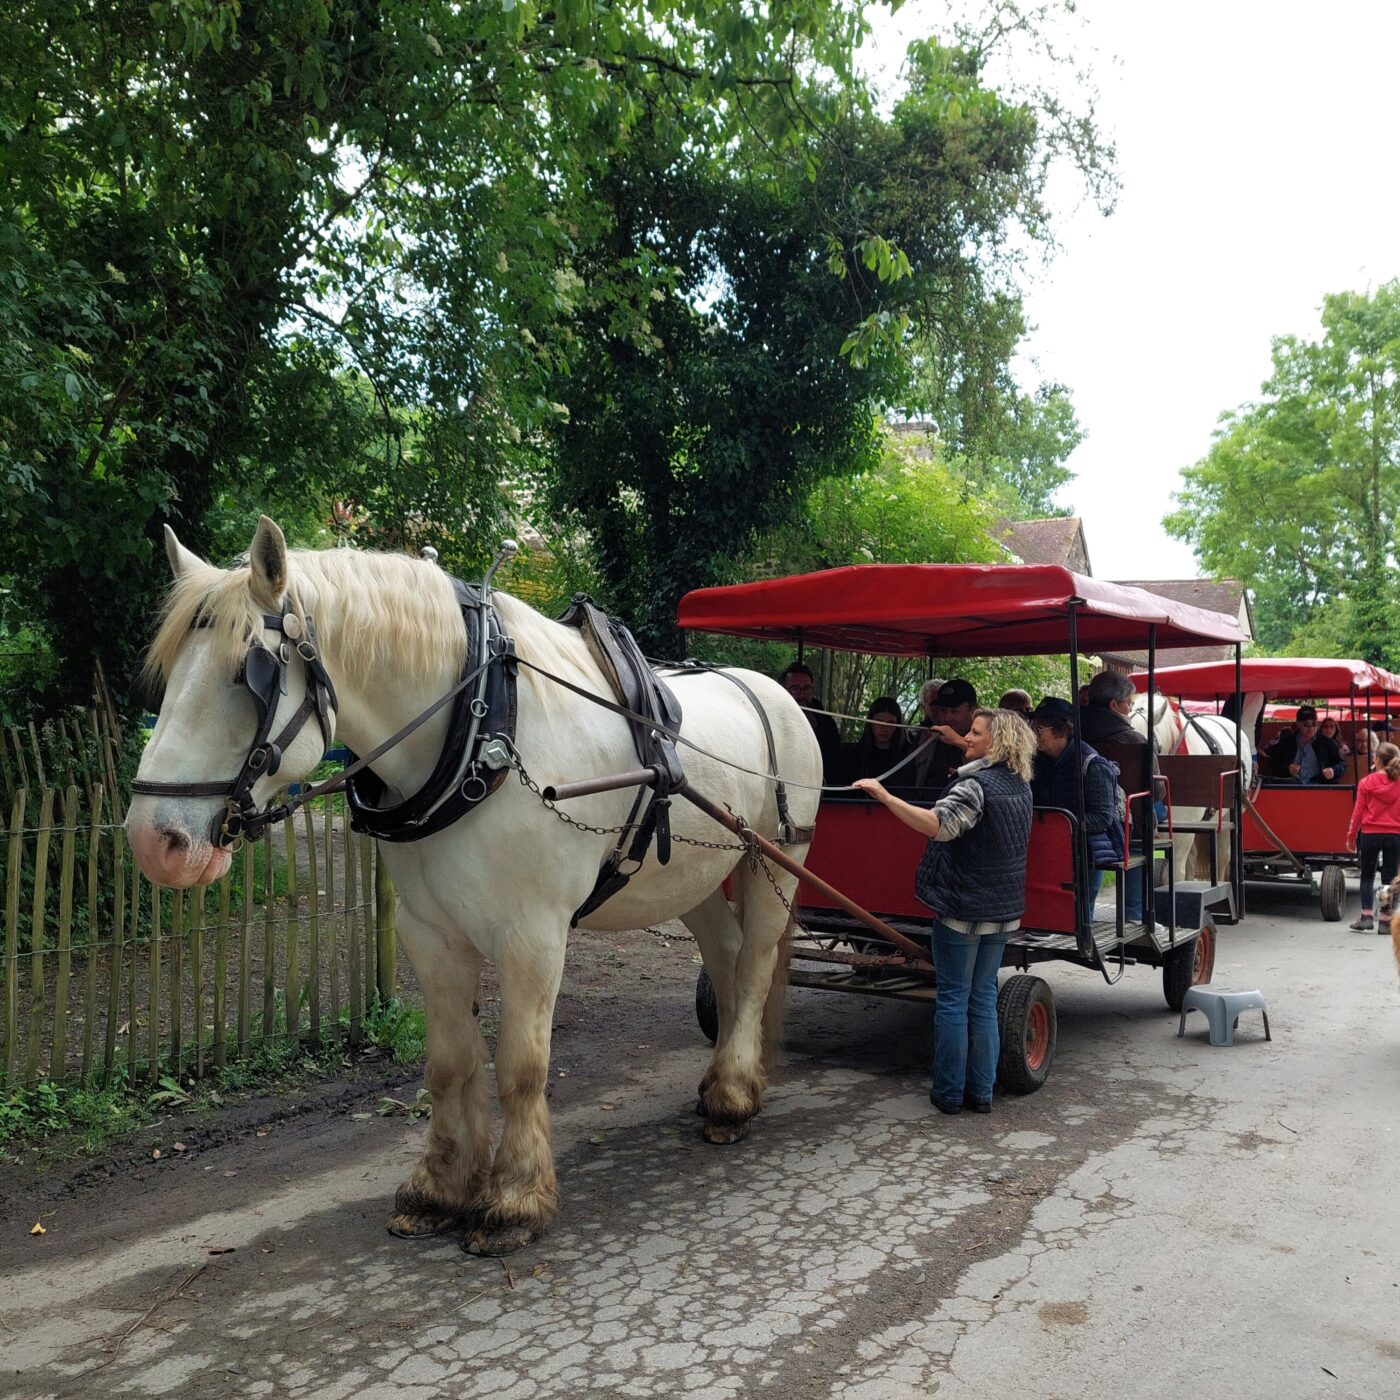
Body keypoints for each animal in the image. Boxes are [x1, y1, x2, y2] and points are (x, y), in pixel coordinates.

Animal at [125, 517, 821, 1256]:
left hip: (774, 861)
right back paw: (720, 1081)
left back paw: (735, 1096)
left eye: (245, 674)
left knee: (754, 967)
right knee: (724, 956)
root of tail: (778, 693)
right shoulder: (429, 933)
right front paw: (441, 1186)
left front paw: (514, 1198)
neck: (483, 732)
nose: (154, 841)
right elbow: (449, 1063)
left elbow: (520, 1066)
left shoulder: (532, 936)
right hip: (695, 876)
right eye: (169, 672)